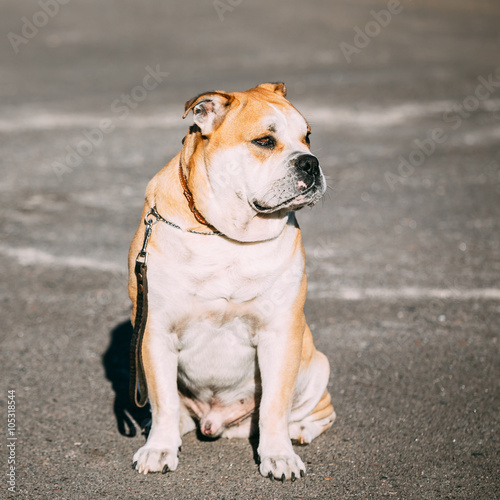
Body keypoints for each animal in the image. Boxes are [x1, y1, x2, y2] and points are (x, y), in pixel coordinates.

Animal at [127, 82, 334, 480]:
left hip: (316, 365)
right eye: (265, 141)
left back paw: (299, 430)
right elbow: (163, 400)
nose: (310, 162)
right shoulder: (155, 331)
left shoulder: (280, 332)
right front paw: (159, 448)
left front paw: (278, 456)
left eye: (308, 136)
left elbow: (274, 405)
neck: (225, 234)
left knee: (317, 410)